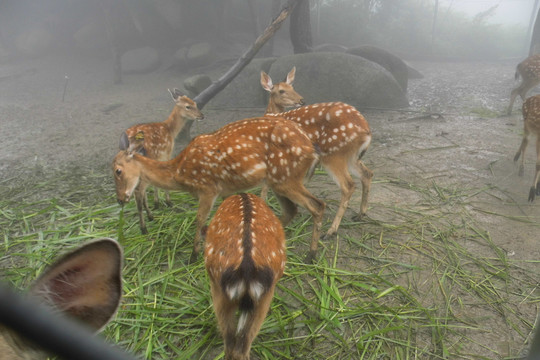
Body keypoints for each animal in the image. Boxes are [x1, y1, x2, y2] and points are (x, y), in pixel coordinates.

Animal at [112, 116, 324, 262]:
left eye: (117, 171)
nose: (120, 199)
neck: (179, 171)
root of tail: (311, 148)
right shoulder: (225, 191)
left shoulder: (208, 188)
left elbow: (199, 220)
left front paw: (193, 256)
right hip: (277, 180)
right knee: (291, 210)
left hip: (286, 177)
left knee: (317, 205)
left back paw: (311, 255)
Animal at [119, 89, 204, 235]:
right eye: (188, 106)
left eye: (195, 103)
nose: (201, 115)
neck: (170, 130)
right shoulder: (166, 153)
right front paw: (167, 202)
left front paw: (157, 203)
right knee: (139, 193)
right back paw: (144, 226)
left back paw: (149, 216)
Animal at [260, 67, 372, 239]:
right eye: (281, 91)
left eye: (292, 87)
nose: (301, 100)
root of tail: (366, 129)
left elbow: (265, 186)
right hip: (351, 156)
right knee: (367, 174)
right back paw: (360, 214)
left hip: (333, 154)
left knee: (348, 185)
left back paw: (331, 231)